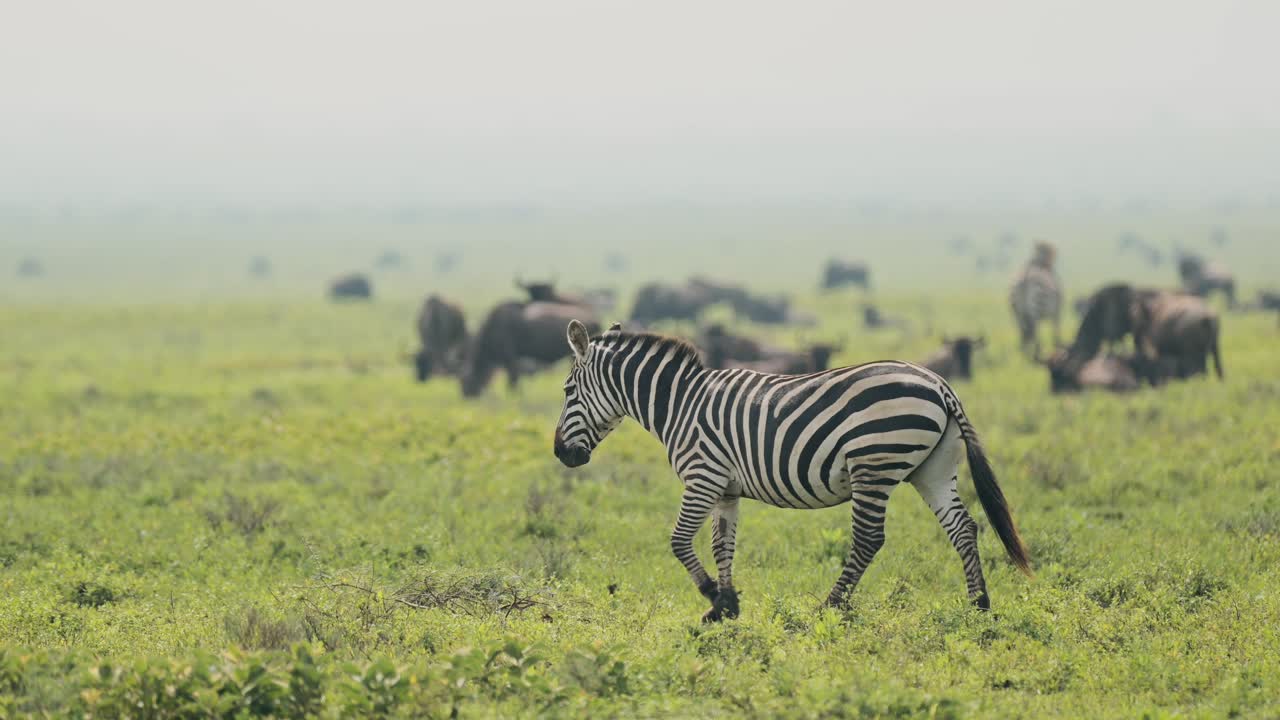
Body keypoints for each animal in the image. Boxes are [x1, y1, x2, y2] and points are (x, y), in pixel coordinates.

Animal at [553, 321, 1031, 623]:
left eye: (567, 390)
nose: (560, 454)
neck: (679, 404)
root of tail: (940, 384)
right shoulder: (725, 488)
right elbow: (723, 545)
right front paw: (726, 605)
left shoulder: (702, 476)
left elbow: (679, 541)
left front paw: (713, 598)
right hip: (932, 468)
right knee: (963, 527)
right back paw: (979, 604)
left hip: (873, 463)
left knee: (868, 539)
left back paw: (830, 606)